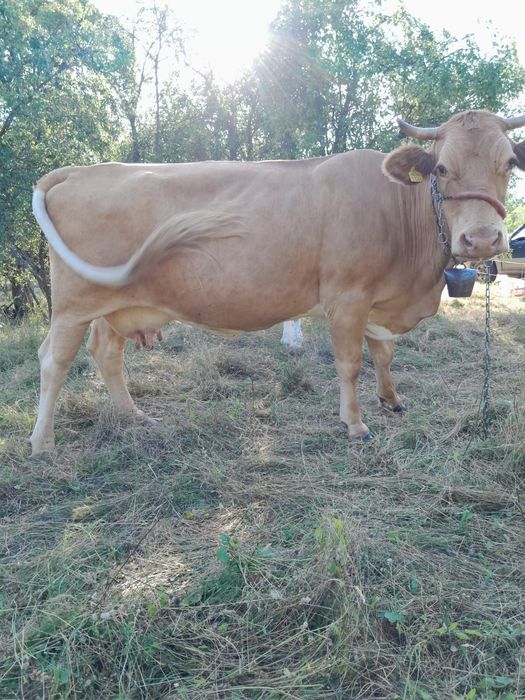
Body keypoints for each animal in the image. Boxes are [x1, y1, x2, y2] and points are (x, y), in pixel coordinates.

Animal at [30, 110, 525, 455]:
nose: (482, 238)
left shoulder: (377, 300)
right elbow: (351, 363)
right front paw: (355, 424)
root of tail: (82, 170)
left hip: (115, 305)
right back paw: (42, 442)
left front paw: (392, 400)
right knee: (54, 361)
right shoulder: (347, 296)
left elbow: (384, 353)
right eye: (441, 168)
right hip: (72, 304)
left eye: (508, 164)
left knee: (105, 354)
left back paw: (134, 416)